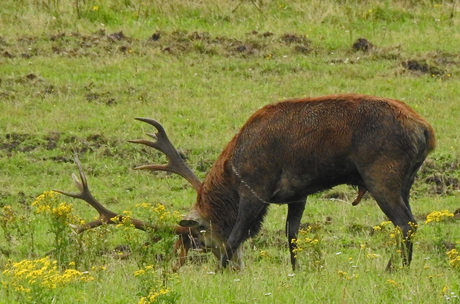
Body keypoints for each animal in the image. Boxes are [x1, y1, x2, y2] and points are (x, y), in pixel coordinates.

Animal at [55, 94, 436, 270]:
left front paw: (221, 273)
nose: (239, 267)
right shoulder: (297, 194)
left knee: (406, 223)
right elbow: (291, 235)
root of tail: (426, 131)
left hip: (381, 174)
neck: (233, 168)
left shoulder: (256, 189)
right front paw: (296, 272)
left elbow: (238, 234)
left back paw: (392, 269)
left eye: (199, 242)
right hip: (406, 180)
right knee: (410, 221)